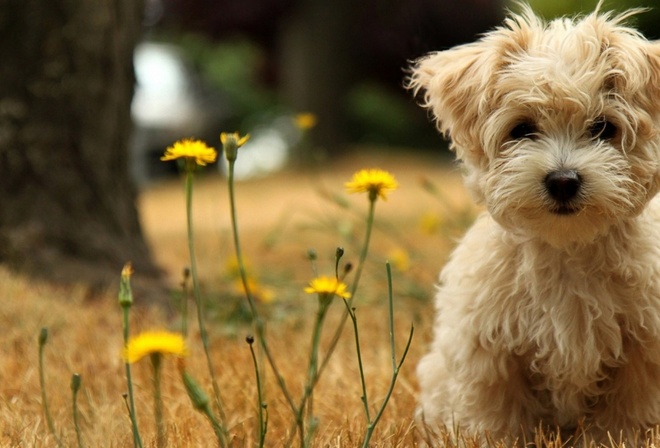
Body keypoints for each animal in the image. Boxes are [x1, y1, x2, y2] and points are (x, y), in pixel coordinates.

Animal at [410, 2, 660, 444]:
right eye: (522, 129)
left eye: (603, 128)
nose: (562, 180)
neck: (566, 249)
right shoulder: (488, 350)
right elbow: (497, 418)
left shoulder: (643, 351)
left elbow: (624, 416)